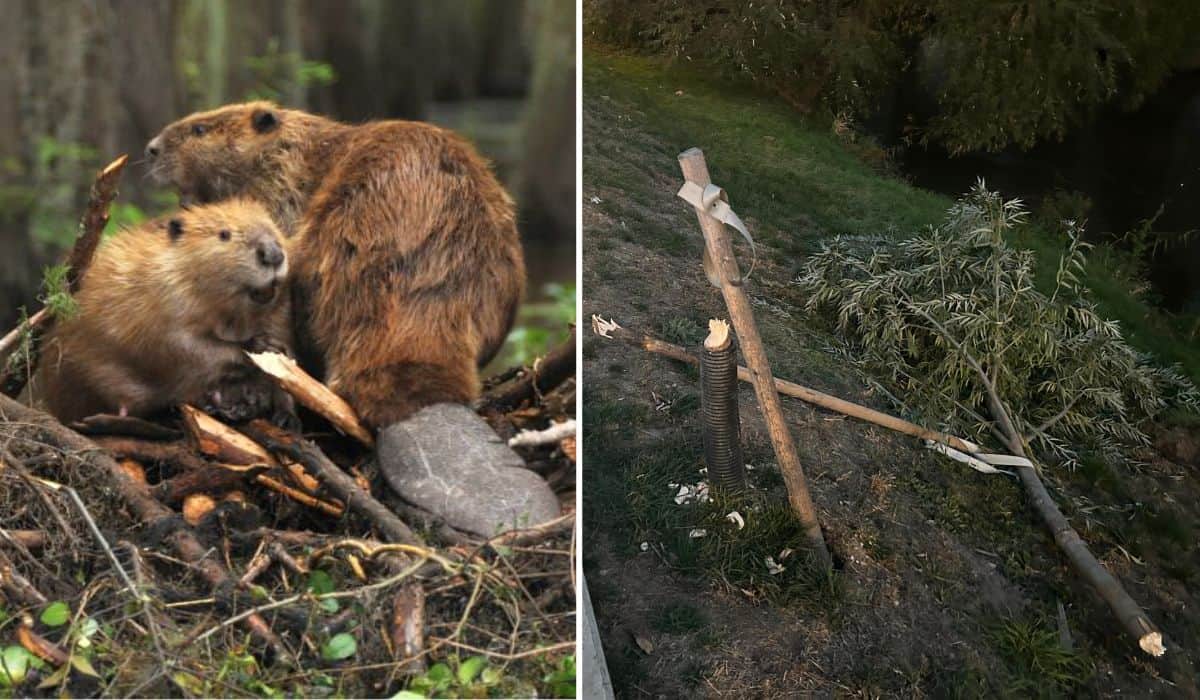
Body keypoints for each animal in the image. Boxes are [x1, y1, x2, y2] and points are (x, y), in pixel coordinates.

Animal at [34, 200, 292, 425]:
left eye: (274, 227)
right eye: (224, 234)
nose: (273, 254)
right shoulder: (162, 301)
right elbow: (182, 346)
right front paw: (258, 346)